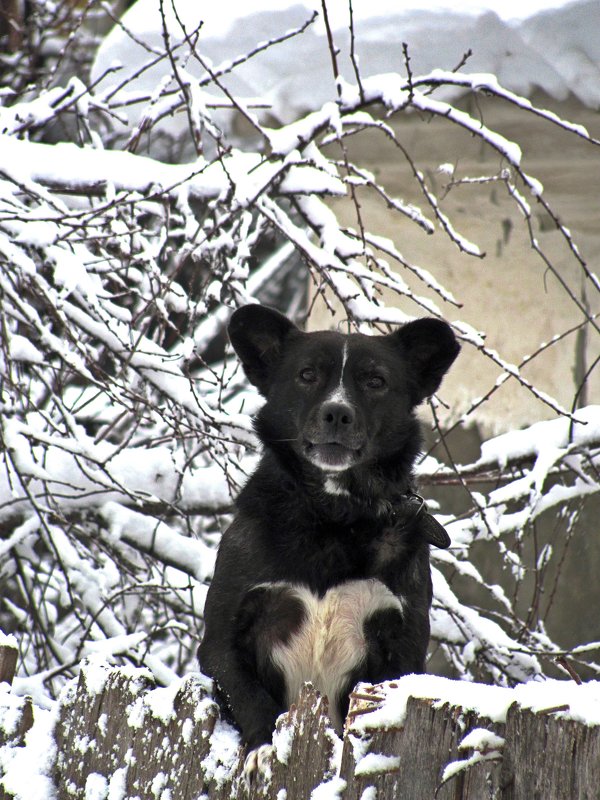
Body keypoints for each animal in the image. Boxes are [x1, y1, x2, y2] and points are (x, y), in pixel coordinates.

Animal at [199, 304, 462, 780]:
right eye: (307, 375)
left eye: (375, 381)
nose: (337, 414)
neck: (332, 514)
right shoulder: (222, 638)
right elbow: (247, 694)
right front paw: (263, 746)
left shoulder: (403, 644)